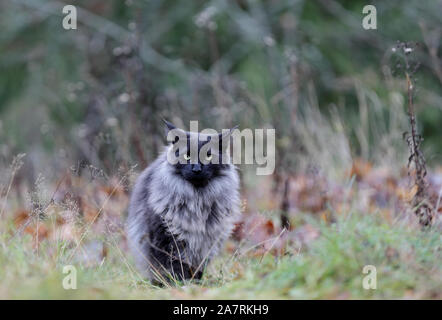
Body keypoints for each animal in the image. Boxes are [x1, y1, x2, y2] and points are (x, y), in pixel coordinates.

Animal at [126, 119, 240, 282]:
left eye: (208, 156)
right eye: (187, 156)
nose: (197, 169)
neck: (197, 200)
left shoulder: (206, 242)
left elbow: (197, 266)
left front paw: (193, 283)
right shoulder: (164, 237)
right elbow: (170, 265)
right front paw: (177, 283)